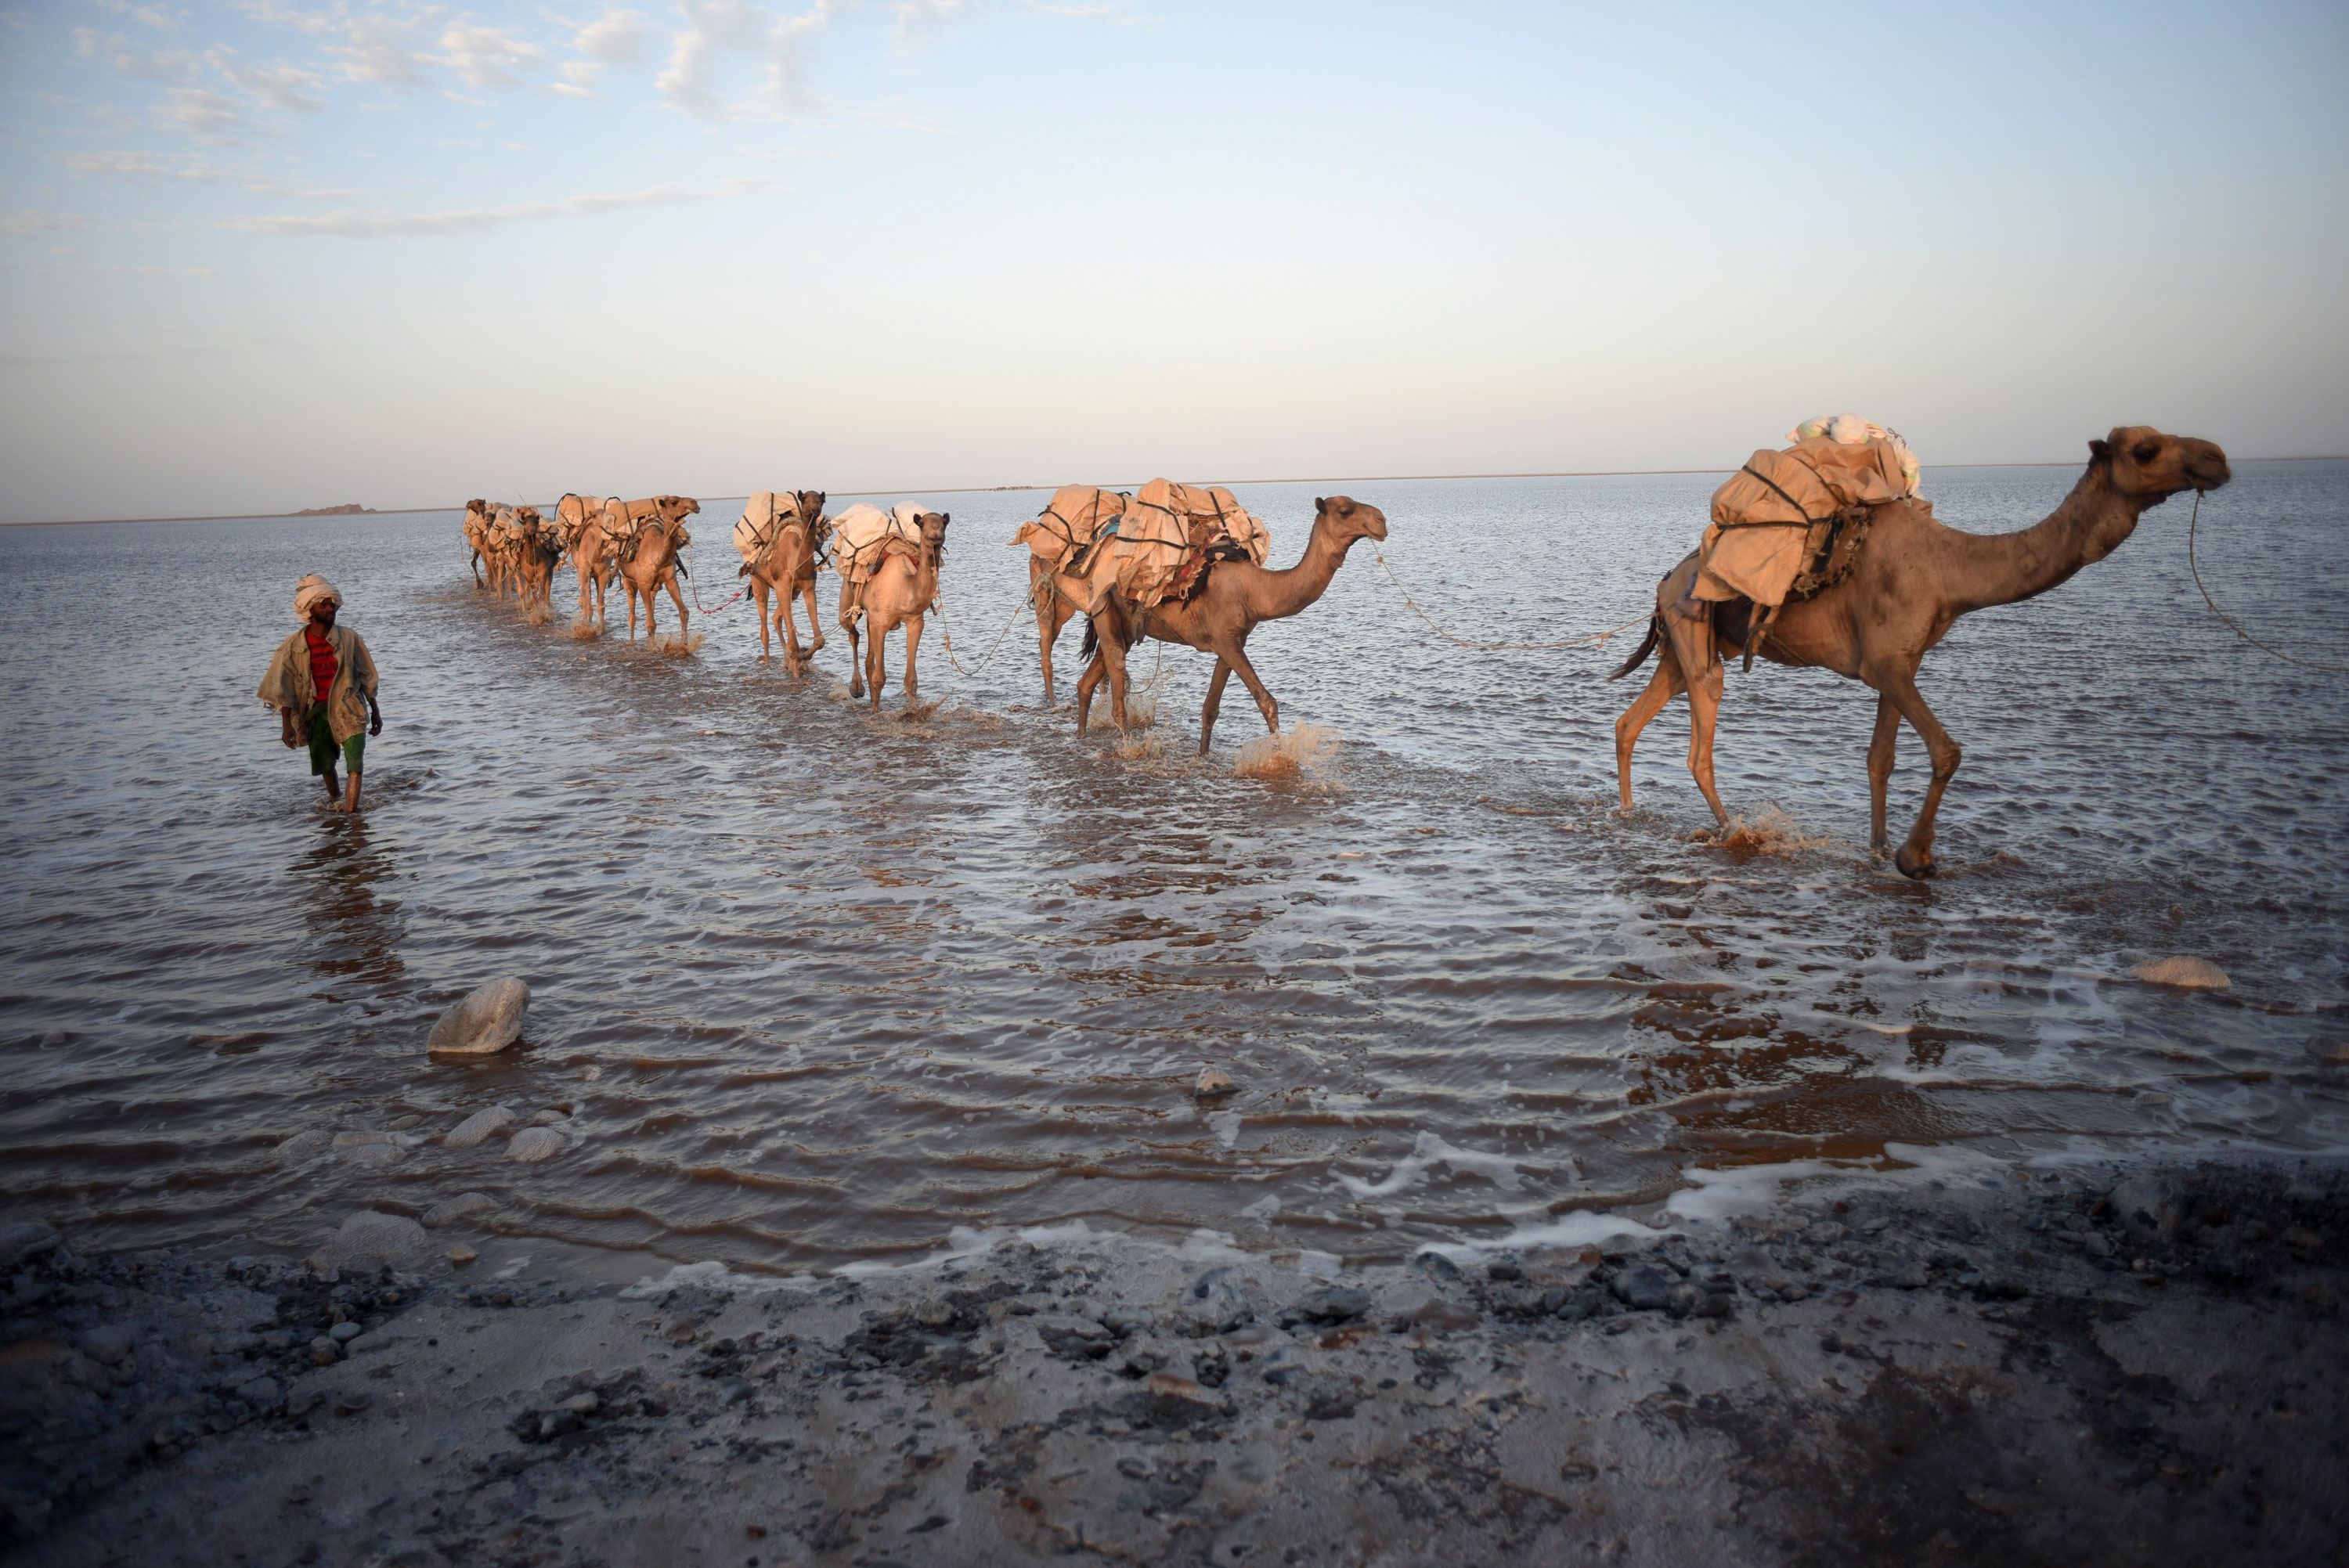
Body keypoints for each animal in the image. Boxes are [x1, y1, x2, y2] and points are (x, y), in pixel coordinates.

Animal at [739, 491, 829, 674]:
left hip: (793, 592)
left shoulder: (808, 588)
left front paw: (802, 657)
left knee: (775, 618)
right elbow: (794, 645)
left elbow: (819, 640)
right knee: (764, 629)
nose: (814, 509)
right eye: (804, 499)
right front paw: (795, 667)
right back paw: (768, 663)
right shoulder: (782, 586)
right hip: (757, 579)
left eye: (821, 500)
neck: (796, 561)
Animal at [842, 509, 949, 709]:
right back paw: (857, 688)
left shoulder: (915, 621)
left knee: (869, 658)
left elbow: (911, 679)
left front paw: (913, 710)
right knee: (853, 634)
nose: (936, 535)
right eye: (921, 524)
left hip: (871, 620)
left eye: (944, 523)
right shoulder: (880, 624)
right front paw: (876, 711)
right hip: (847, 594)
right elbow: (880, 677)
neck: (904, 587)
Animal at [1075, 496, 1388, 754]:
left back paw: (1081, 738)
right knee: (1117, 688)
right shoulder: (1226, 639)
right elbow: (1266, 701)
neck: (1254, 589)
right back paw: (1128, 749)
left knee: (1088, 680)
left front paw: (1203, 756)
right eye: (1345, 511)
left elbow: (1211, 708)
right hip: (1102, 602)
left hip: (1124, 624)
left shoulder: (1233, 640)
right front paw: (1282, 758)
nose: (1381, 521)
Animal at [1610, 426, 2230, 878]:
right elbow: (1947, 751)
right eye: (2146, 450)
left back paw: (1629, 812)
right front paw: (1917, 858)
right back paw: (1732, 829)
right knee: (1699, 743)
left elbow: (1879, 760)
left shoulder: (1900, 663)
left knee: (1630, 721)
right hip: (1695, 631)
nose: (2219, 458)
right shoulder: (1886, 663)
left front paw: (1881, 850)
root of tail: (1666, 581)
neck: (1948, 570)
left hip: (1683, 645)